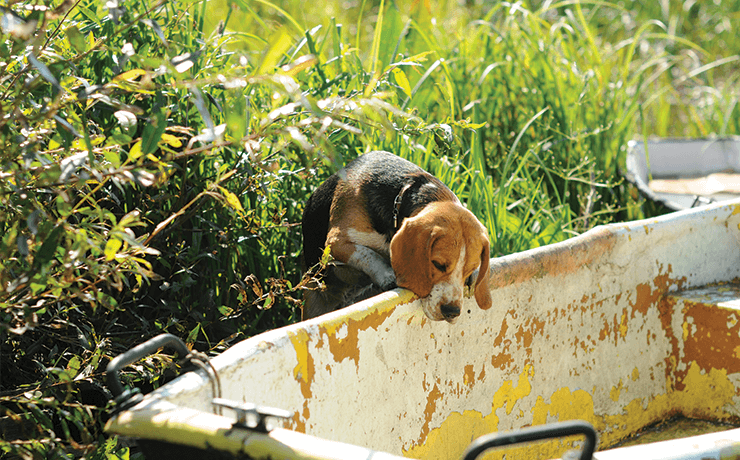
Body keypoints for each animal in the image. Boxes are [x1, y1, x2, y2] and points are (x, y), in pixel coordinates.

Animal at [300, 152, 492, 324]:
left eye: (470, 269)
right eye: (437, 264)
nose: (452, 312)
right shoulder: (336, 242)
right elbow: (367, 254)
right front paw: (387, 274)